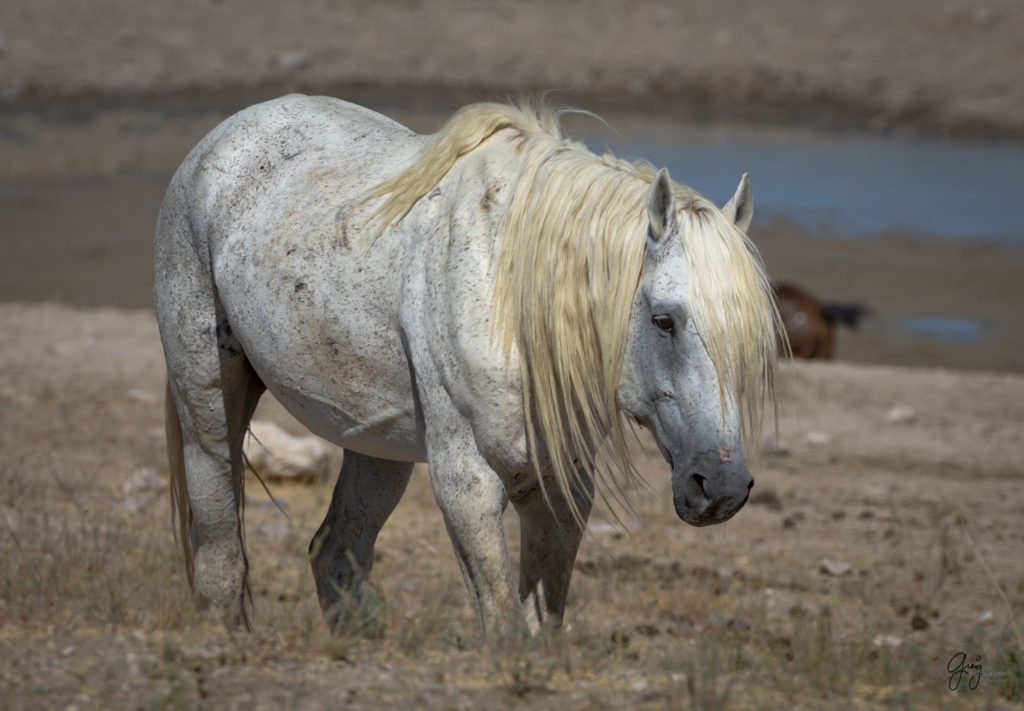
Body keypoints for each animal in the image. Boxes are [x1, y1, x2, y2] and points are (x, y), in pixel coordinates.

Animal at [153, 94, 774, 635]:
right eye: (664, 320)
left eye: (749, 339)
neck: (513, 300)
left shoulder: (561, 489)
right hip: (208, 410)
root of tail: (218, 141)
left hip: (377, 449)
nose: (722, 487)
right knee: (220, 554)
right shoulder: (467, 483)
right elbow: (501, 623)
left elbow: (540, 625)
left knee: (335, 552)